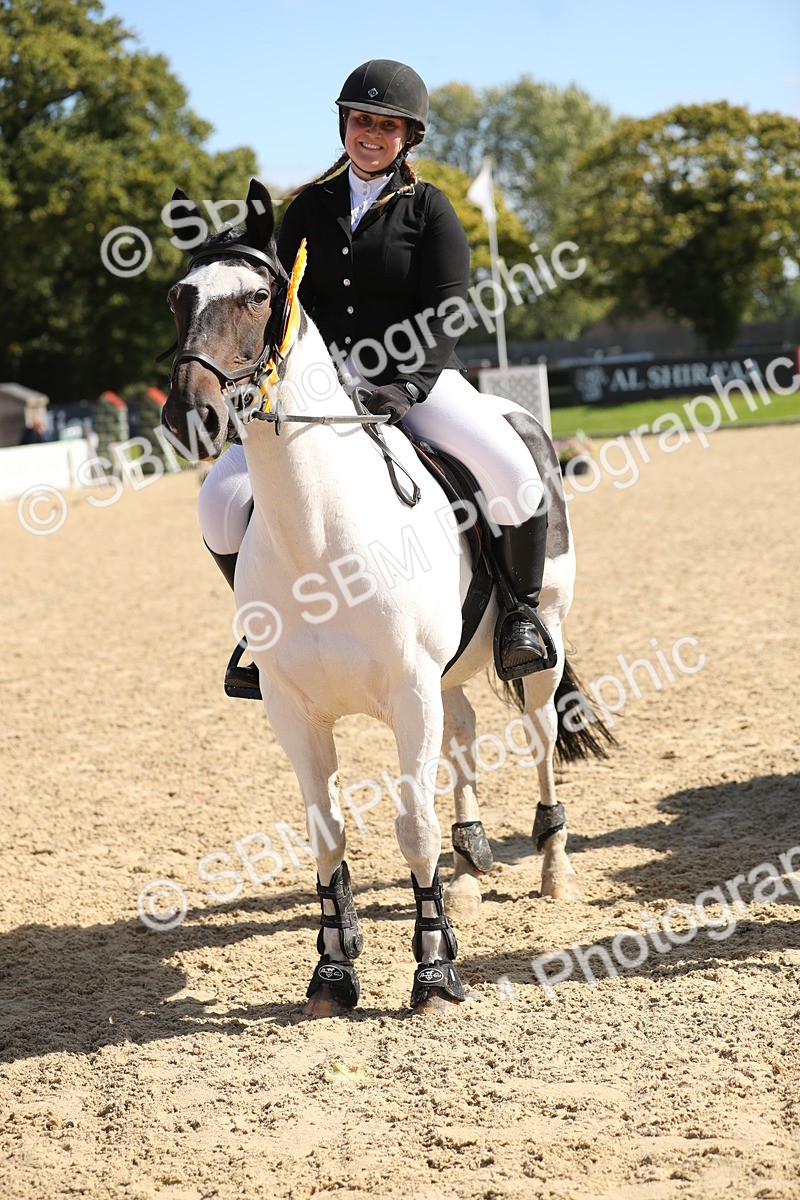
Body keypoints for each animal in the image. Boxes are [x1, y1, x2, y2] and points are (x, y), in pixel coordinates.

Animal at [162, 179, 612, 1016]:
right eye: (179, 297)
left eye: (259, 295)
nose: (193, 416)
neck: (319, 531)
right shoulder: (293, 708)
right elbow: (329, 834)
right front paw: (333, 971)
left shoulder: (407, 691)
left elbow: (413, 827)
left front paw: (434, 972)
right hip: (448, 678)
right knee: (465, 737)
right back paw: (468, 873)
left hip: (539, 644)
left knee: (537, 739)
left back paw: (551, 866)